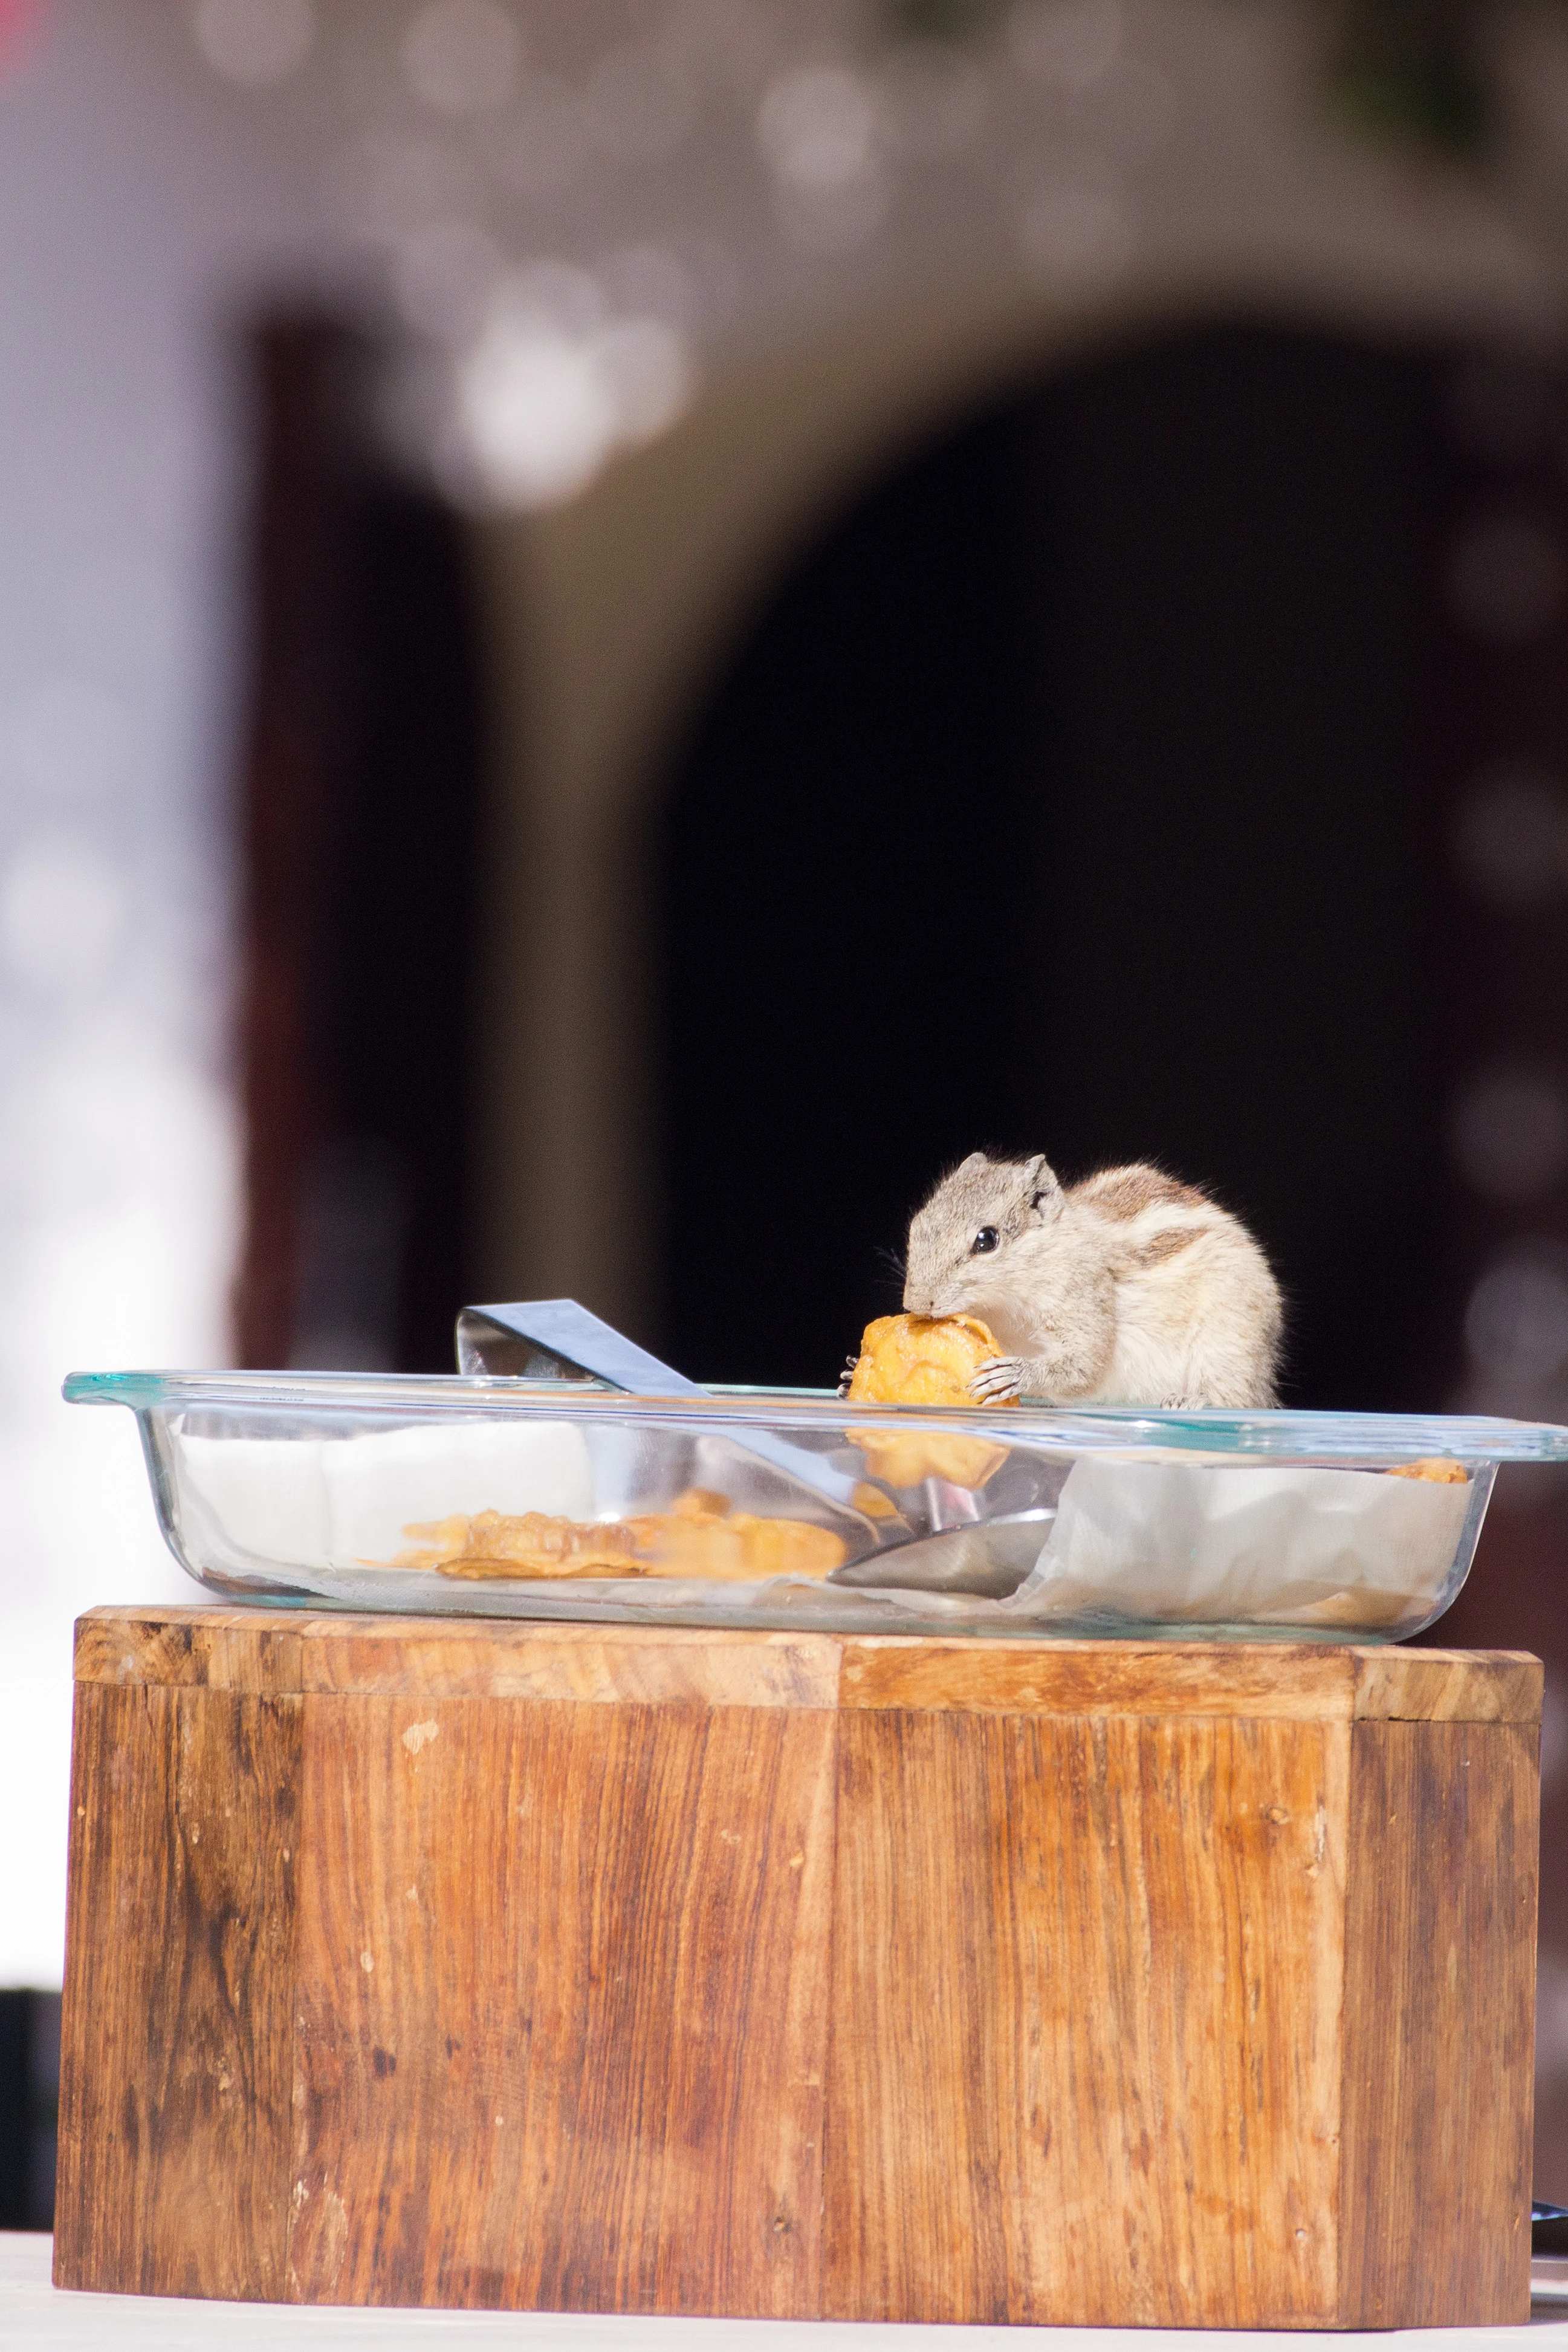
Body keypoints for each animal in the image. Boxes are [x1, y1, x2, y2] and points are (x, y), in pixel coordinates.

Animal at [850, 1150, 1282, 1409]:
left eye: (986, 1240)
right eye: (918, 1224)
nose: (915, 1304)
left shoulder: (1082, 1301)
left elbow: (1082, 1366)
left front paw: (1014, 1375)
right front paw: (850, 1369)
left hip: (1228, 1345)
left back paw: (1188, 1402)